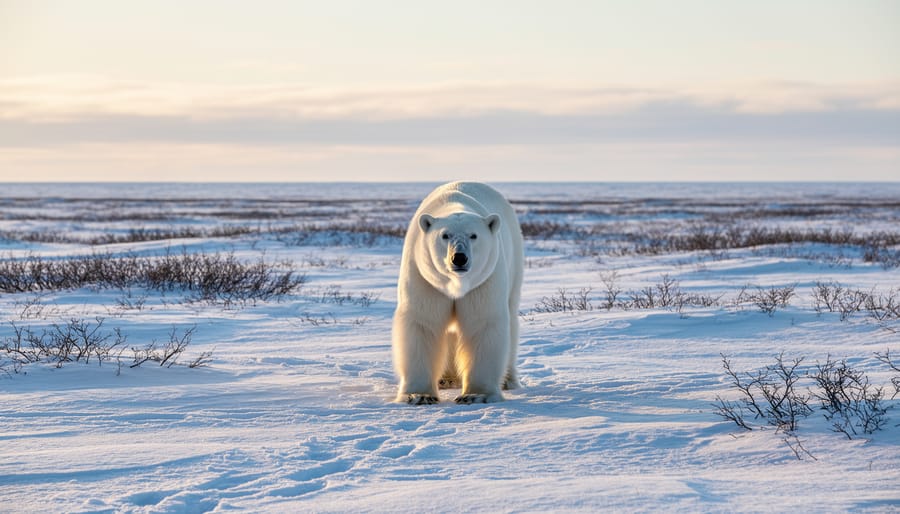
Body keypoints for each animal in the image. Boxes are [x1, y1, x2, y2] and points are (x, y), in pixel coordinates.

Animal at [392, 181, 524, 404]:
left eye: (474, 235)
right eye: (445, 235)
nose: (459, 258)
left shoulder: (483, 282)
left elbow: (482, 323)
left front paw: (476, 395)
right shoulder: (425, 278)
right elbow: (423, 322)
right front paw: (418, 395)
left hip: (514, 260)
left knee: (511, 318)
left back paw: (508, 380)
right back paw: (446, 379)